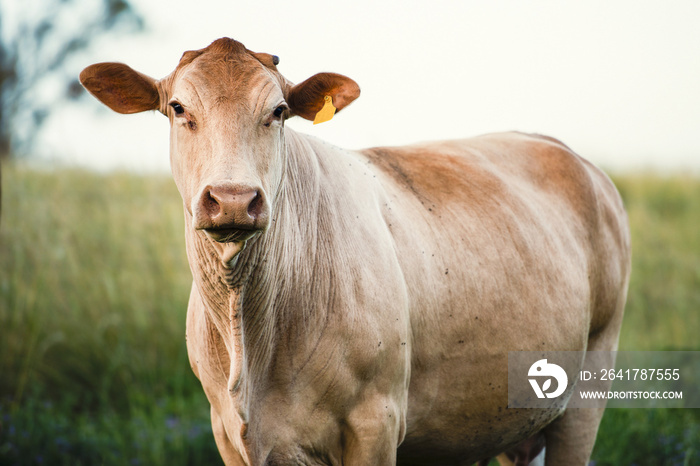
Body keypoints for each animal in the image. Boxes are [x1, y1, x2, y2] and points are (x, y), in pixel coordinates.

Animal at [79, 38, 632, 464]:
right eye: (178, 108)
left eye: (278, 112)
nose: (233, 198)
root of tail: (567, 154)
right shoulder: (227, 432)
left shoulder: (377, 421)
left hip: (590, 388)